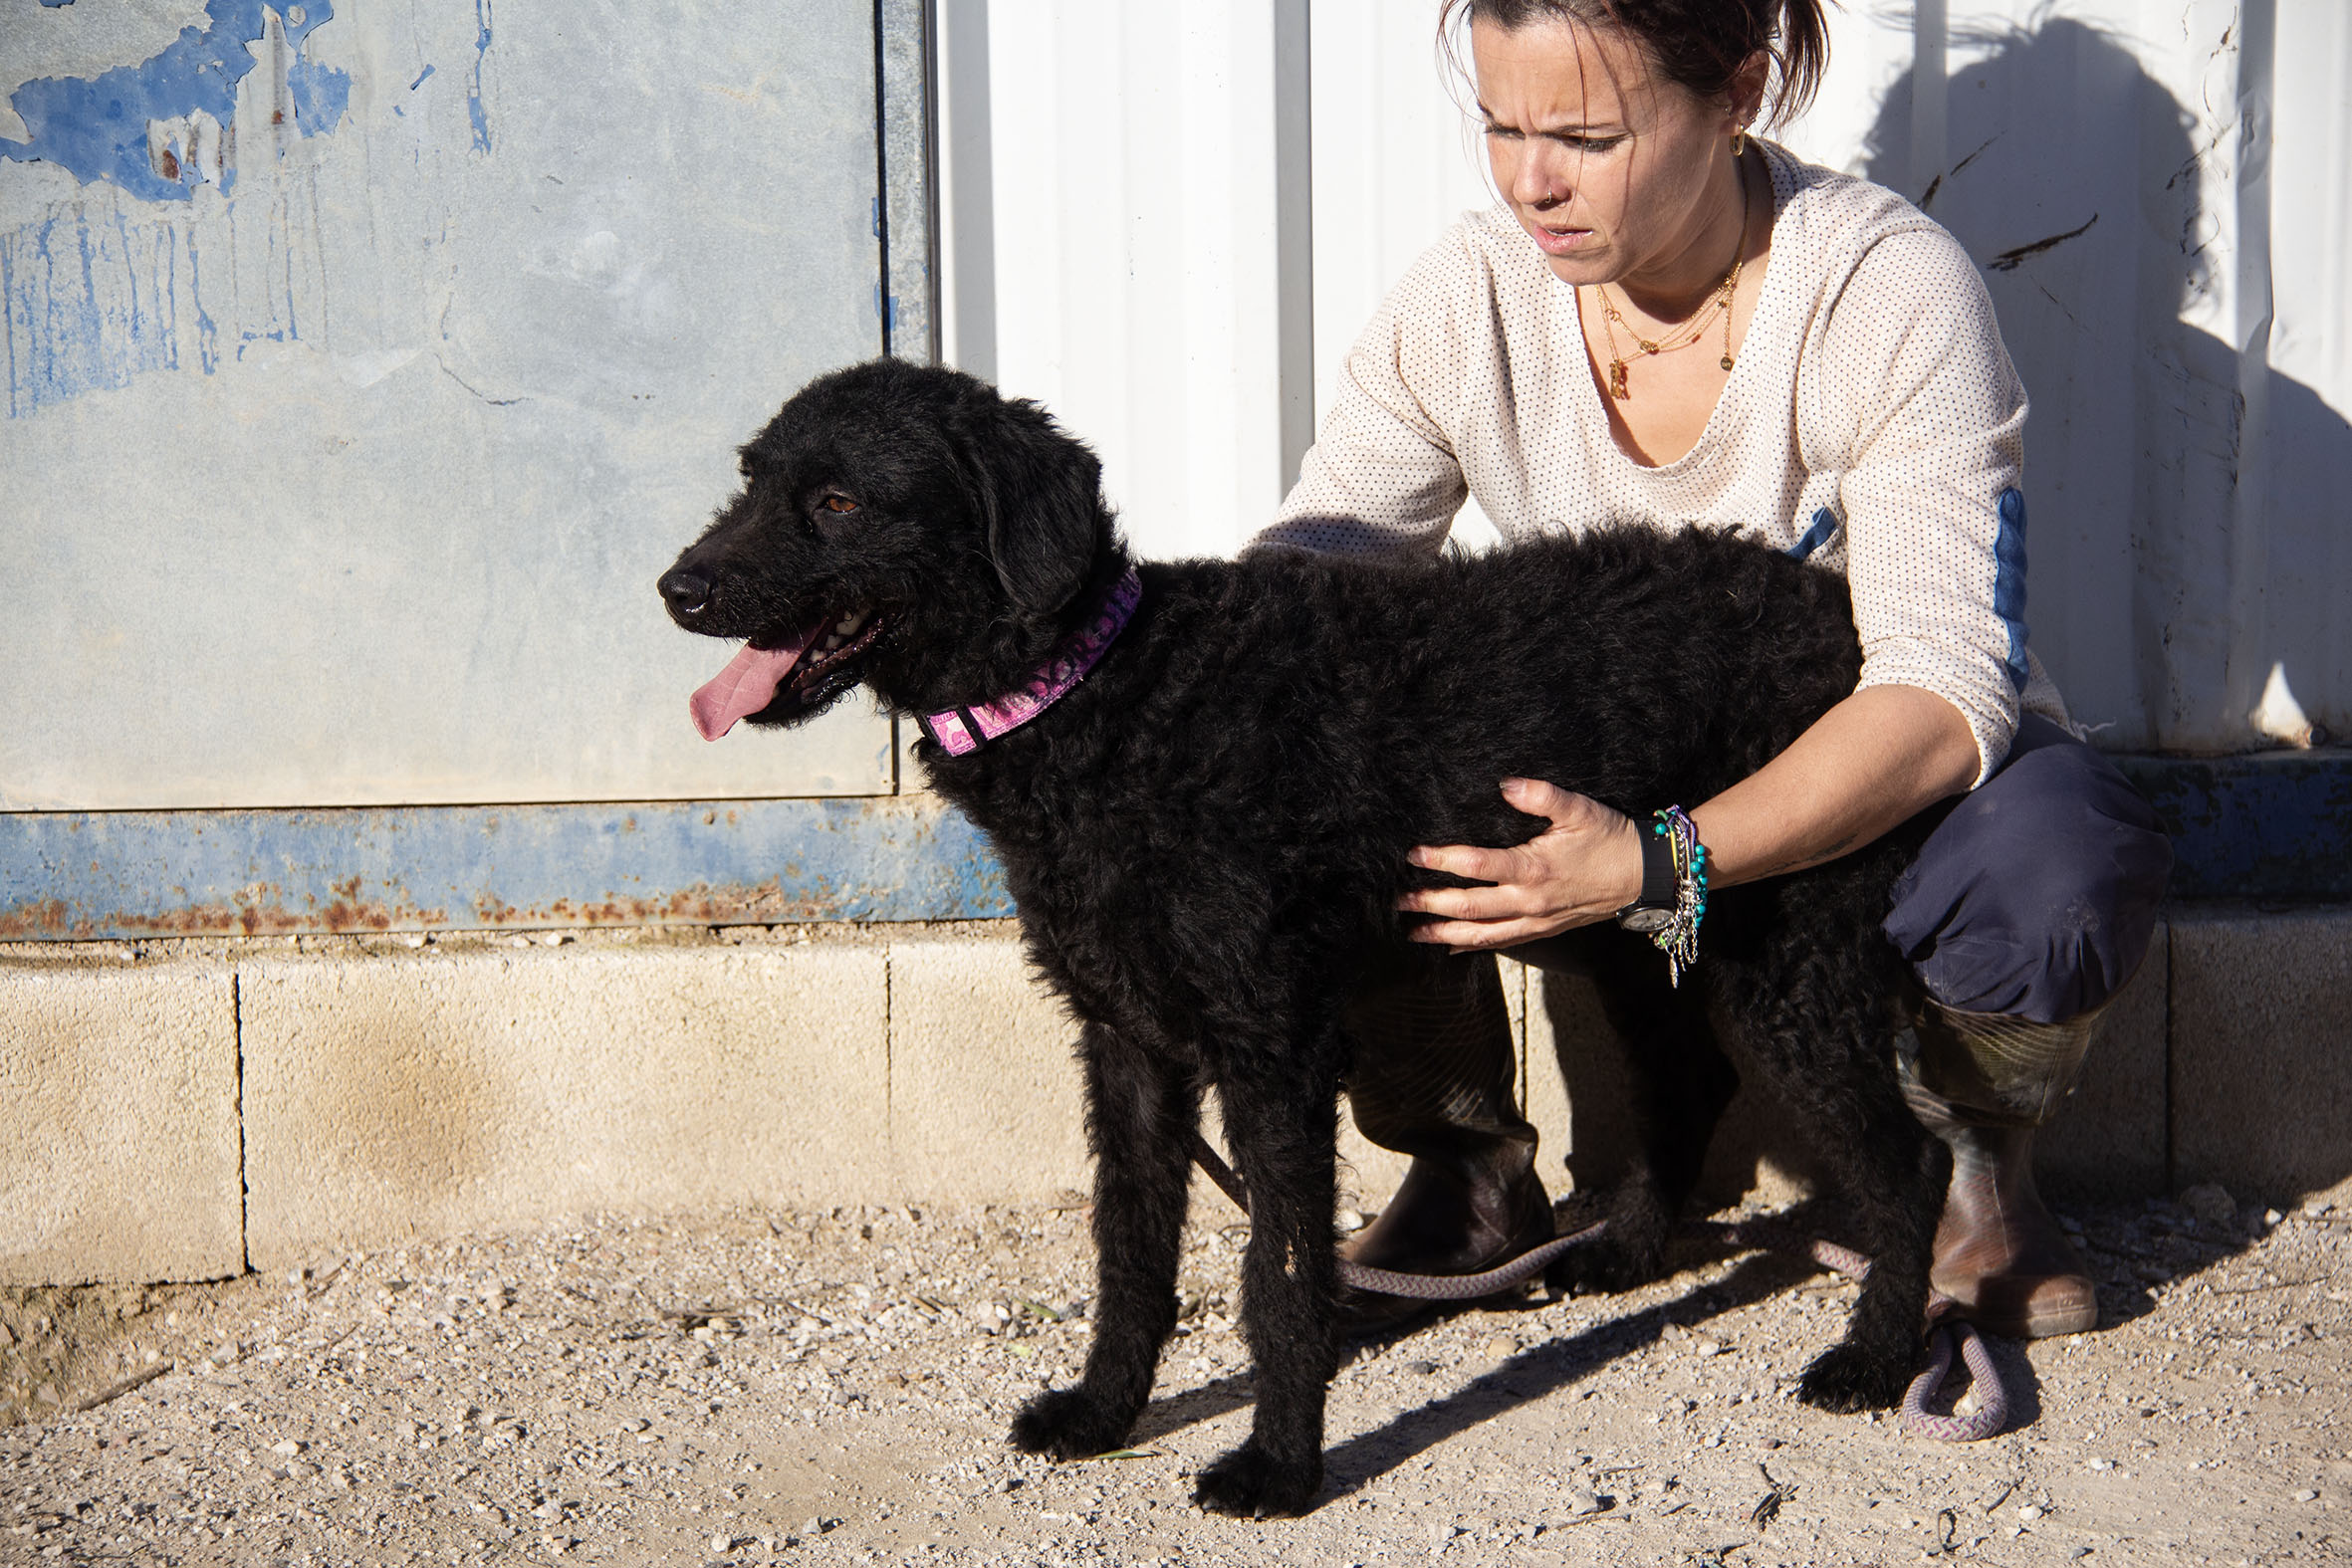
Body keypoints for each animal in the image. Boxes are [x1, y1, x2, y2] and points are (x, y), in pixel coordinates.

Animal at [657, 359, 1952, 1517]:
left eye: (837, 501)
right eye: (751, 479)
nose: (677, 590)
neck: (1110, 697)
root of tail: (1843, 612)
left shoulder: (1269, 1046)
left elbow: (1276, 1275)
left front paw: (1278, 1466)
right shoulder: (1127, 1046)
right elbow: (1129, 1252)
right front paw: (1105, 1410)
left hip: (1794, 952)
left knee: (1913, 1164)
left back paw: (1874, 1356)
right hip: (1622, 925)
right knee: (1687, 1079)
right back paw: (1627, 1252)